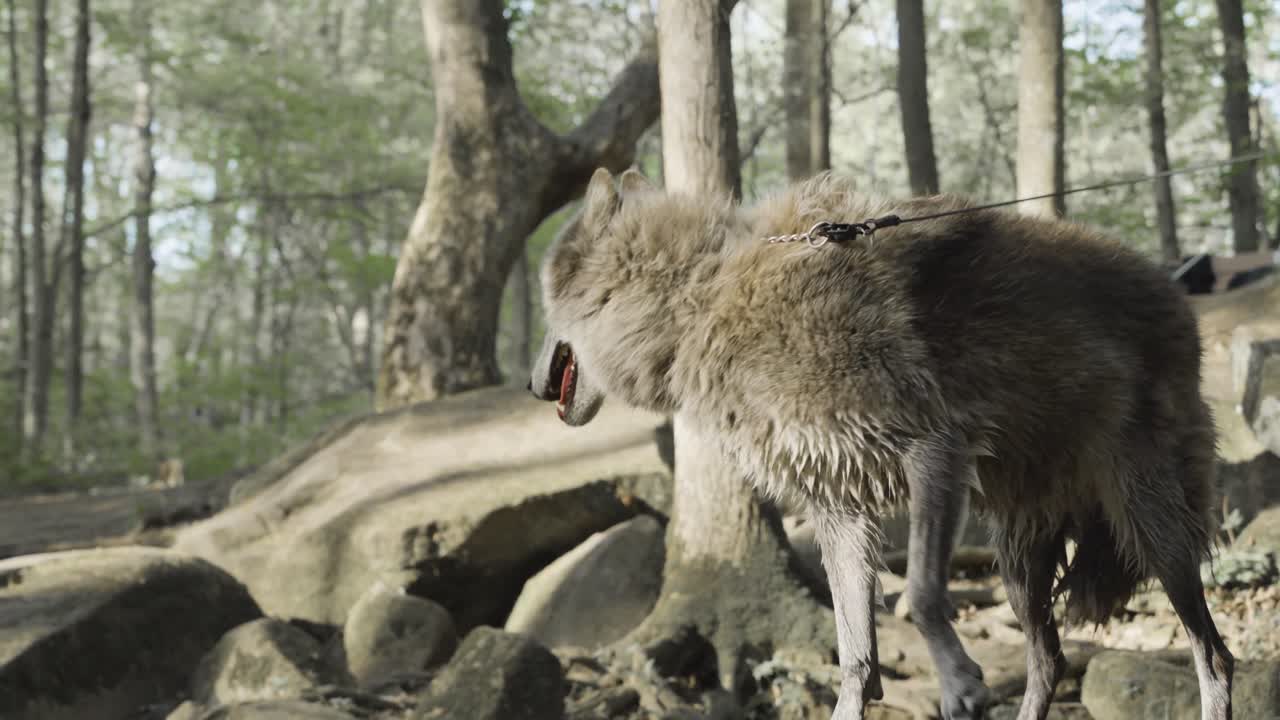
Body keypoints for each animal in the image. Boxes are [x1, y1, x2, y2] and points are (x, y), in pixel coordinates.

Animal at [529, 167, 1233, 720]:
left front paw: (958, 683)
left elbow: (917, 594)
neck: (700, 300)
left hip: (1150, 535)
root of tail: (1178, 296)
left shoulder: (933, 449)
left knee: (1215, 657)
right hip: (1017, 560)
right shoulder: (839, 511)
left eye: (543, 309)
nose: (533, 385)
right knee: (1050, 663)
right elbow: (855, 661)